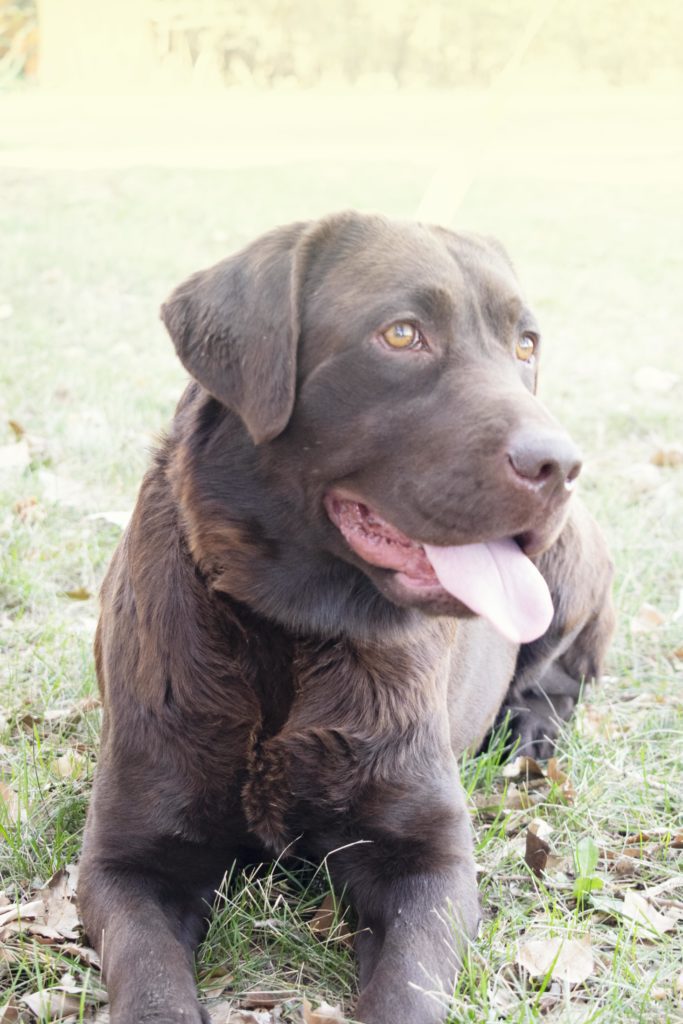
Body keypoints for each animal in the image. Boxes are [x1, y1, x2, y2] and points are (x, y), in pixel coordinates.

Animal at [78, 211, 614, 1019]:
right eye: (401, 334)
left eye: (526, 345)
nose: (561, 464)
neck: (289, 633)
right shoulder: (126, 862)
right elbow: (151, 983)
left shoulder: (428, 861)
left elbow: (407, 991)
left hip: (566, 580)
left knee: (556, 679)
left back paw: (528, 735)